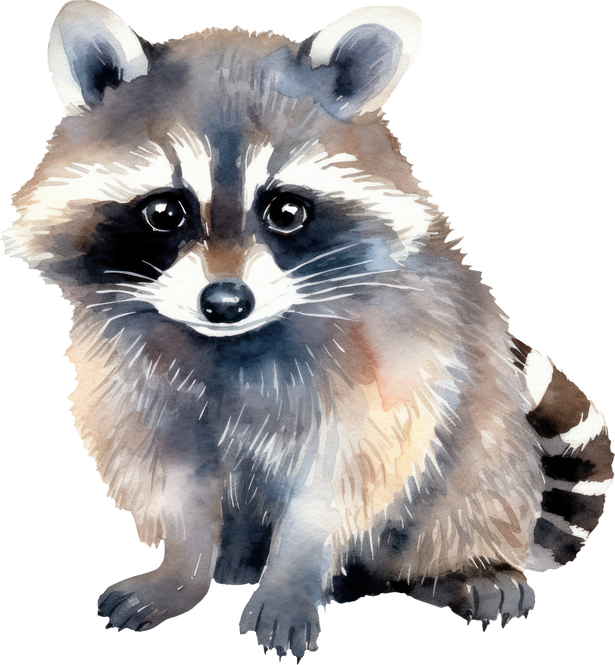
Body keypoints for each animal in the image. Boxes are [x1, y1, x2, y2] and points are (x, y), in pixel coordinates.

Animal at [2, 0, 613, 660]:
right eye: (164, 212)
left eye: (287, 211)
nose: (224, 303)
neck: (235, 344)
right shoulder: (133, 375)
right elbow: (172, 473)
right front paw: (181, 574)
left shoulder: (392, 355)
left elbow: (342, 476)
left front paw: (291, 583)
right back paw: (239, 565)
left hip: (485, 436)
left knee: (474, 473)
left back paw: (462, 570)